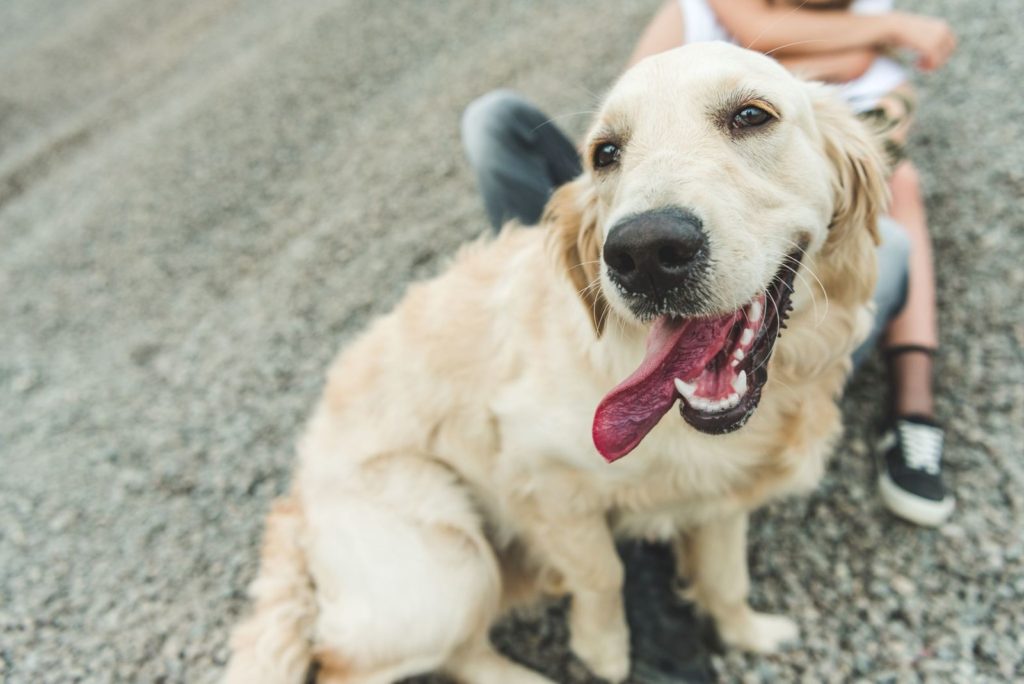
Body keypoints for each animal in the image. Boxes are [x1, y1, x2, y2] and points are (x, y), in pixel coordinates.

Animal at [224, 42, 888, 684]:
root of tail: (295, 495)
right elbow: (601, 572)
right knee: (356, 664)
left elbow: (726, 576)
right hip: (445, 564)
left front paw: (749, 632)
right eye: (606, 153)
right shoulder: (536, 466)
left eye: (752, 115)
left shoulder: (720, 489)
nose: (645, 252)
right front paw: (606, 650)